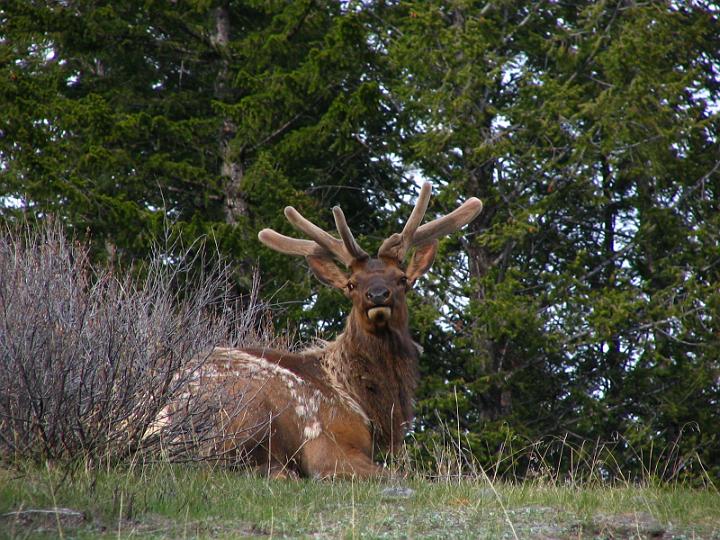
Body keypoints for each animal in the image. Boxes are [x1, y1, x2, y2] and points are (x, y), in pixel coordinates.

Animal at [160, 182, 480, 476]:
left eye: (402, 279)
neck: (365, 402)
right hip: (245, 414)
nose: (377, 294)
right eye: (351, 284)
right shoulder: (328, 442)